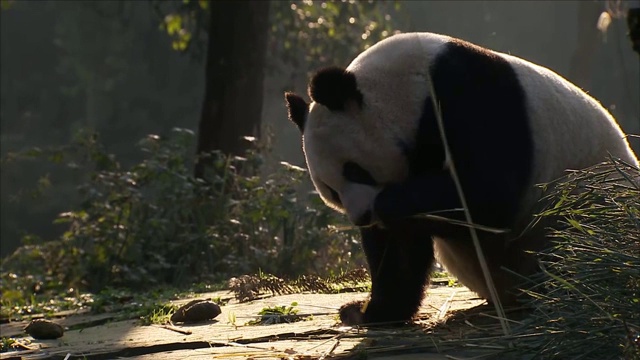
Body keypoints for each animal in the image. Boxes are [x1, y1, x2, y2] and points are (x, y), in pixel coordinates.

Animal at [284, 33, 640, 326]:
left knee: (582, 241)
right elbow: (400, 245)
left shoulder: (470, 95)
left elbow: (487, 195)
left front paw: (391, 205)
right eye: (332, 191)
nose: (362, 216)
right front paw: (369, 311)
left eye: (354, 170)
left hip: (586, 198)